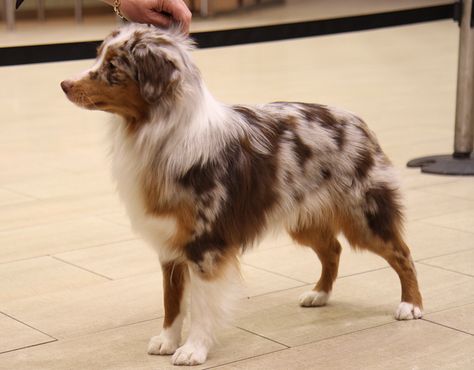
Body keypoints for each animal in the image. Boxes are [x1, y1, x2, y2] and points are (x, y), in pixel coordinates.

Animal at [62, 24, 422, 366]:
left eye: (113, 66)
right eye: (99, 55)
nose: (64, 84)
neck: (158, 133)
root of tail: (357, 121)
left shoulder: (206, 245)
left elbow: (202, 305)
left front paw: (193, 349)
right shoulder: (170, 243)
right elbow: (172, 300)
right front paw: (166, 341)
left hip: (364, 215)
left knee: (401, 253)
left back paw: (411, 305)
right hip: (304, 221)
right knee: (332, 249)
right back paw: (319, 294)